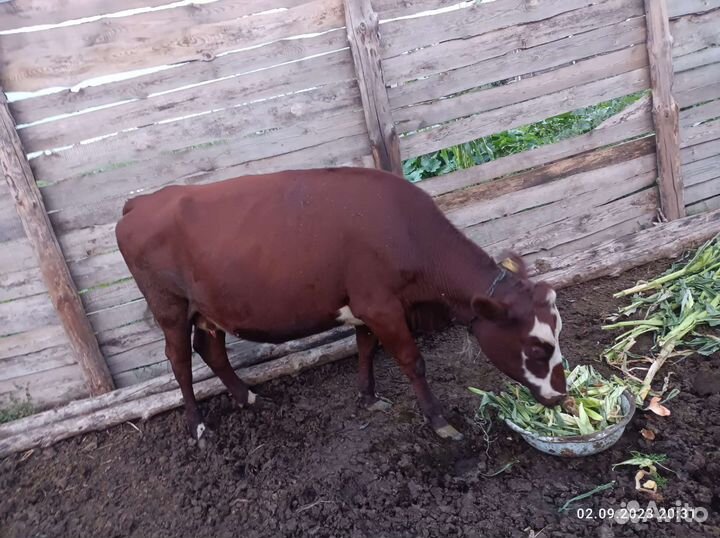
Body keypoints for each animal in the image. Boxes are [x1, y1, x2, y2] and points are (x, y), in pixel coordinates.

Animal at [115, 167, 566, 443]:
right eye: (536, 347)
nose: (561, 395)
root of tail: (143, 201)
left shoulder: (365, 306)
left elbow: (365, 348)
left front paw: (368, 396)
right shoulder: (382, 305)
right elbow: (412, 361)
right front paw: (439, 422)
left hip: (208, 308)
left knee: (210, 348)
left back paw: (249, 398)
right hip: (169, 307)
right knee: (179, 360)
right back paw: (197, 426)